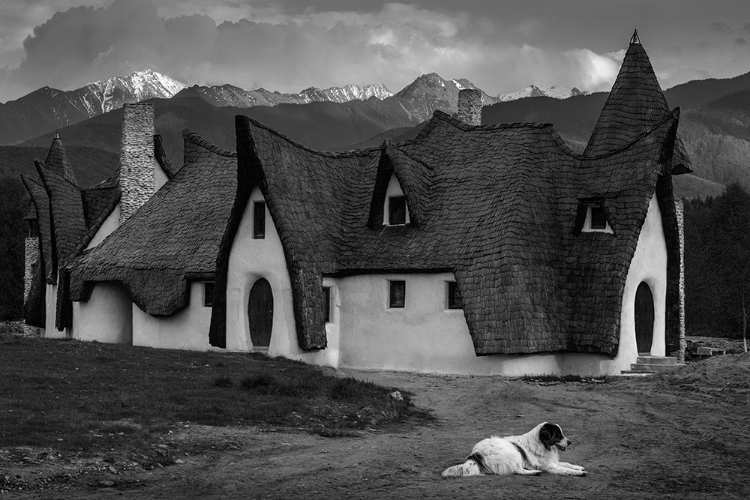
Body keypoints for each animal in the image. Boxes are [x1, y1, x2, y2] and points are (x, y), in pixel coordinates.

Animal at [444, 424, 592, 478]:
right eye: (558, 434)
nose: (570, 442)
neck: (542, 444)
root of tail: (475, 453)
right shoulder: (550, 466)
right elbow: (565, 469)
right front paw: (580, 473)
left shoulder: (552, 462)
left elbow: (567, 464)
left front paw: (578, 467)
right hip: (514, 453)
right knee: (517, 470)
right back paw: (534, 472)